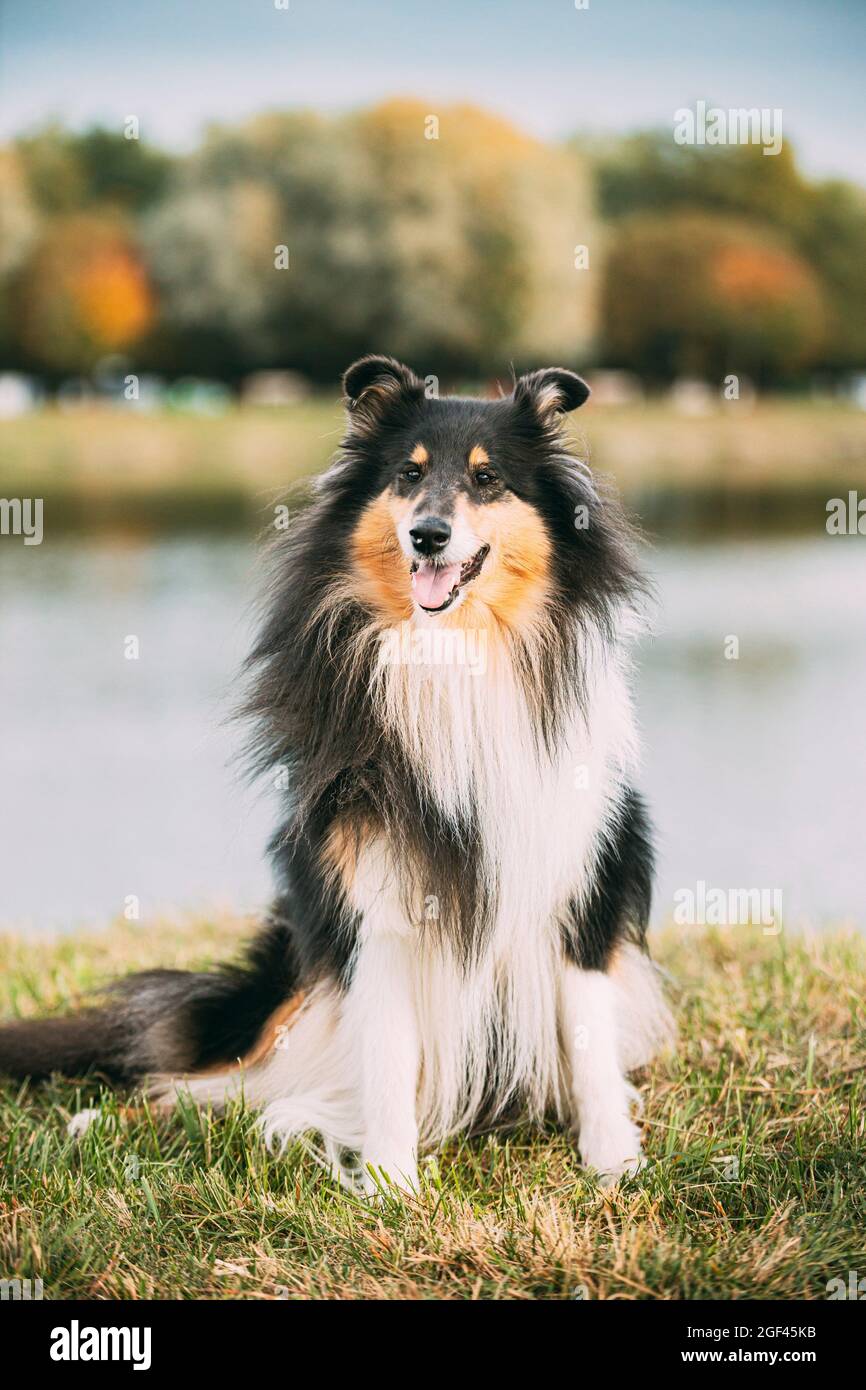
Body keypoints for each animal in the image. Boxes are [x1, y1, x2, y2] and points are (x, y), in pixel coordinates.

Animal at [0, 353, 670, 1189]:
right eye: (408, 474)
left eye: (487, 480)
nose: (427, 535)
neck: (453, 657)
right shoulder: (373, 901)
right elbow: (385, 1055)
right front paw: (390, 1182)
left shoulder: (578, 878)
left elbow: (587, 1034)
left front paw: (611, 1156)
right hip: (294, 978)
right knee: (209, 1079)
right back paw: (99, 1123)